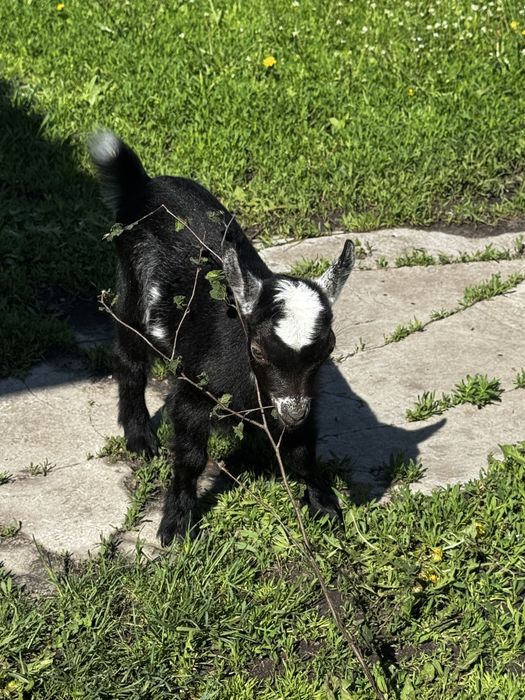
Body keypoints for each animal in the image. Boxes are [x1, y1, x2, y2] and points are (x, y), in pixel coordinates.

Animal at [89, 131, 355, 545]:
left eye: (327, 349)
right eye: (257, 350)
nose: (293, 412)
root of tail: (142, 183)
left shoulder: (300, 394)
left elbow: (301, 449)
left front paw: (325, 507)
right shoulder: (196, 391)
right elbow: (191, 455)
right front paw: (176, 525)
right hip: (130, 286)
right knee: (129, 356)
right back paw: (140, 438)